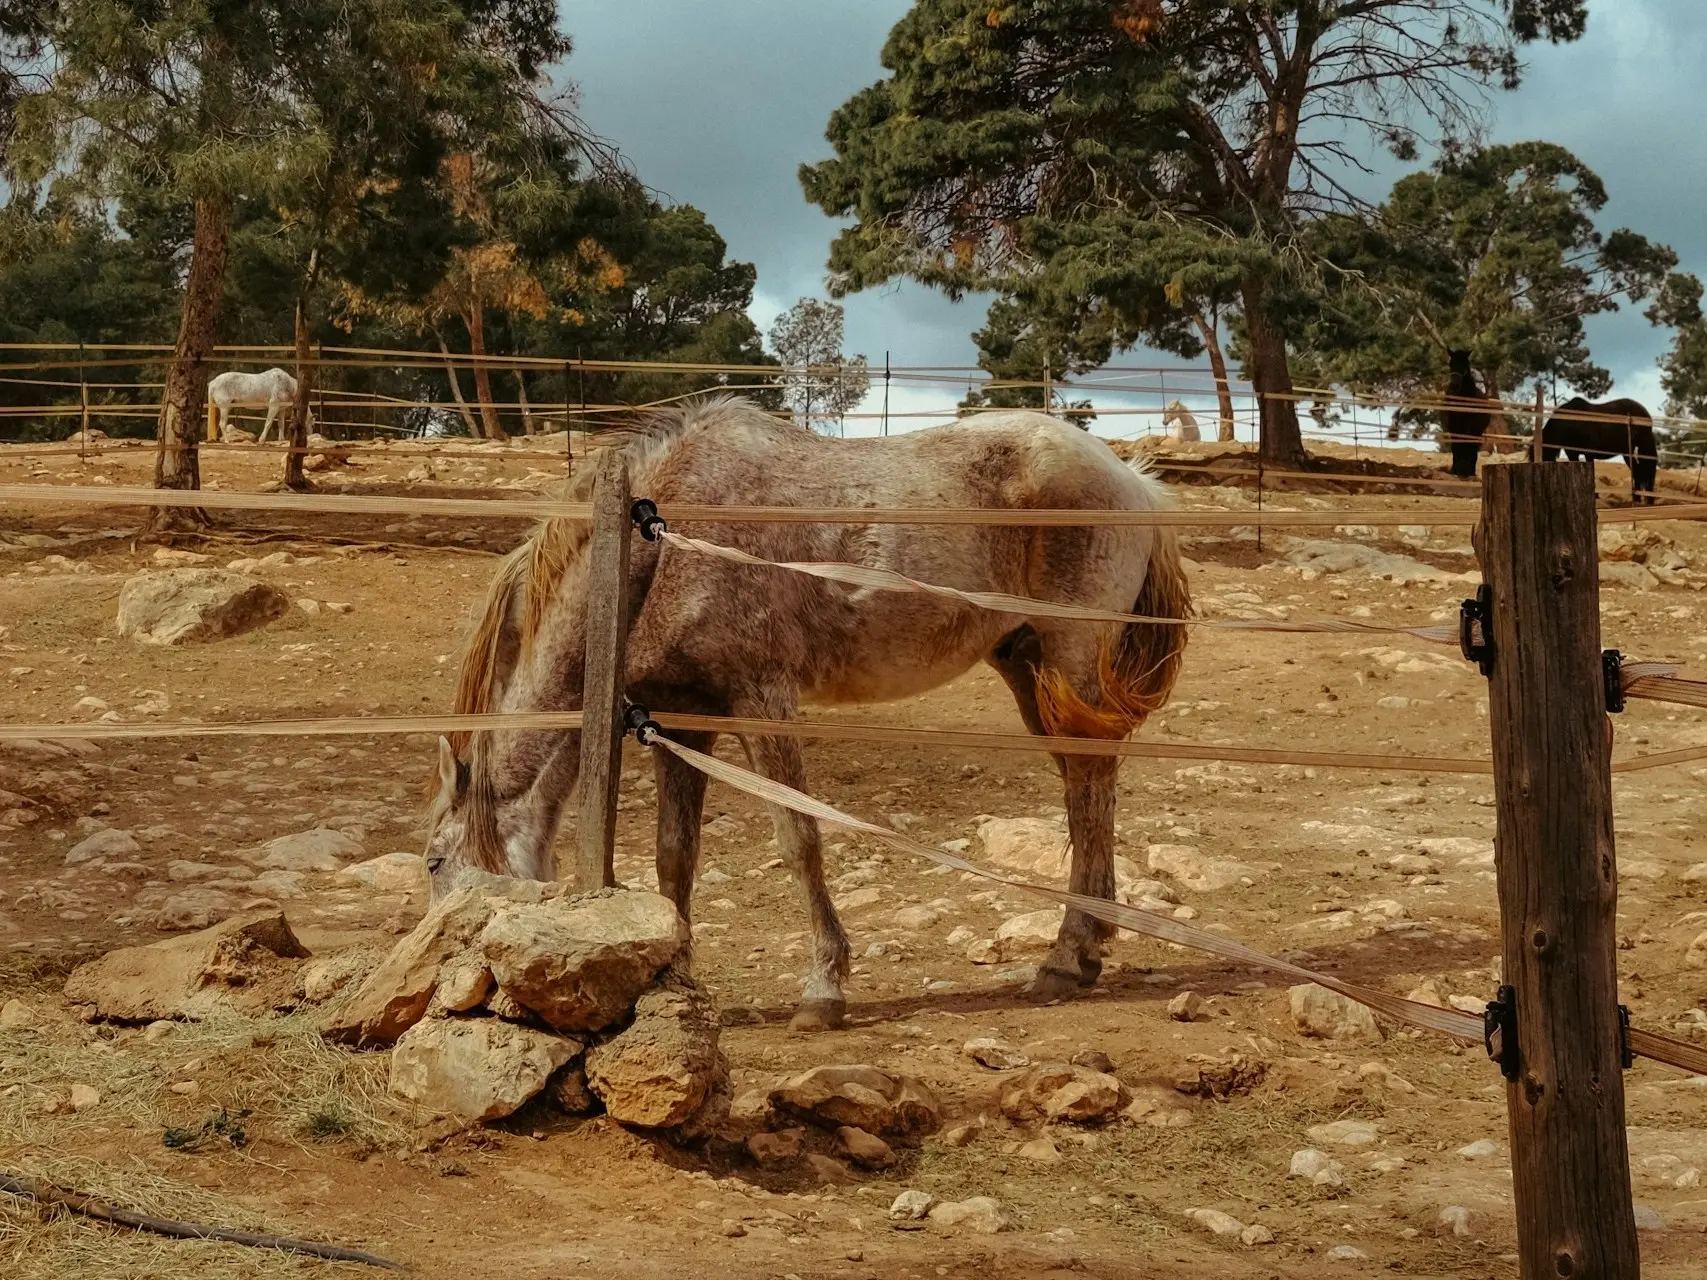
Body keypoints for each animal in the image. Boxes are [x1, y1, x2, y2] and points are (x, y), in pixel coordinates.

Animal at [426, 401, 1188, 1030]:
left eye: (436, 862)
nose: (449, 982)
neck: (659, 536)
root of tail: (1131, 478)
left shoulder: (764, 702)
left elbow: (798, 838)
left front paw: (823, 990)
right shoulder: (683, 719)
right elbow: (675, 854)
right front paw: (676, 976)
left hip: (1070, 661)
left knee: (1090, 783)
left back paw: (1065, 957)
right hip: (1027, 666)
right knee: (1081, 785)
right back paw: (1081, 952)